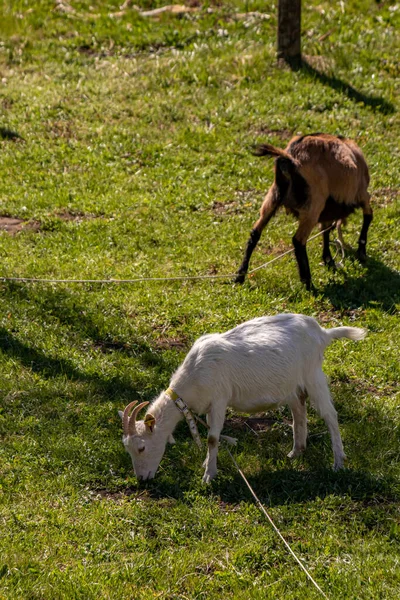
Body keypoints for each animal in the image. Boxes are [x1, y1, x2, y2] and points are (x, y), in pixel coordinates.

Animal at [118, 314, 366, 482]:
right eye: (127, 449)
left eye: (141, 448)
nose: (141, 479)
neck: (195, 374)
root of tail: (323, 333)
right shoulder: (209, 406)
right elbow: (213, 435)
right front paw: (207, 463)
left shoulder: (219, 399)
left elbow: (212, 438)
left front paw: (209, 475)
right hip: (293, 386)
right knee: (299, 413)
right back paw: (296, 452)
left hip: (313, 375)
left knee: (330, 415)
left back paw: (338, 462)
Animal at [234, 133, 372, 290]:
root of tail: (290, 158)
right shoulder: (362, 194)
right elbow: (368, 216)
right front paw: (361, 252)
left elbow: (325, 230)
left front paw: (328, 260)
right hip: (313, 203)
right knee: (298, 240)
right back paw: (308, 283)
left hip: (273, 196)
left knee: (255, 232)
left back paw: (240, 276)